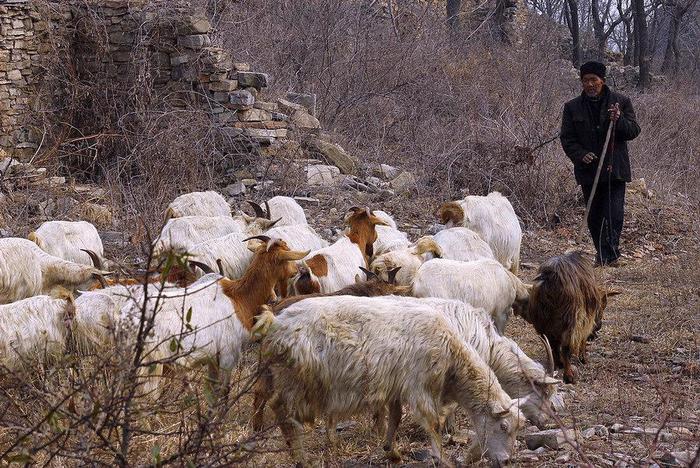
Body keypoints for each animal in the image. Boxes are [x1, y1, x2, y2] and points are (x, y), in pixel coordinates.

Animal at [253, 298, 524, 466]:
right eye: (503, 427)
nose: (506, 461)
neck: (452, 357)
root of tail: (275, 322)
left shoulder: (397, 385)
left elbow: (395, 417)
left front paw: (391, 451)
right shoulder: (419, 386)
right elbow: (433, 424)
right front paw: (441, 458)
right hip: (296, 381)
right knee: (284, 413)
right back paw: (301, 458)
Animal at [516, 252, 616, 384]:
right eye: (603, 307)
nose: (599, 326)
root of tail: (548, 277)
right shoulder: (583, 321)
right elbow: (581, 341)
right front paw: (583, 359)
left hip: (542, 322)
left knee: (551, 345)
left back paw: (557, 364)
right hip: (570, 321)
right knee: (565, 348)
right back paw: (568, 376)